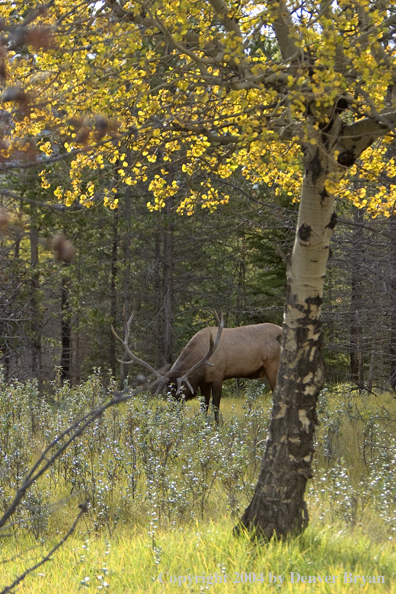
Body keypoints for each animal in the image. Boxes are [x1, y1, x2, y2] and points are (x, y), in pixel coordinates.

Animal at [111, 310, 282, 420]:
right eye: (167, 393)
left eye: (182, 393)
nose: (173, 416)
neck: (202, 366)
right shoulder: (204, 382)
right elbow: (204, 407)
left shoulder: (218, 375)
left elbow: (215, 406)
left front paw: (216, 427)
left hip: (273, 366)